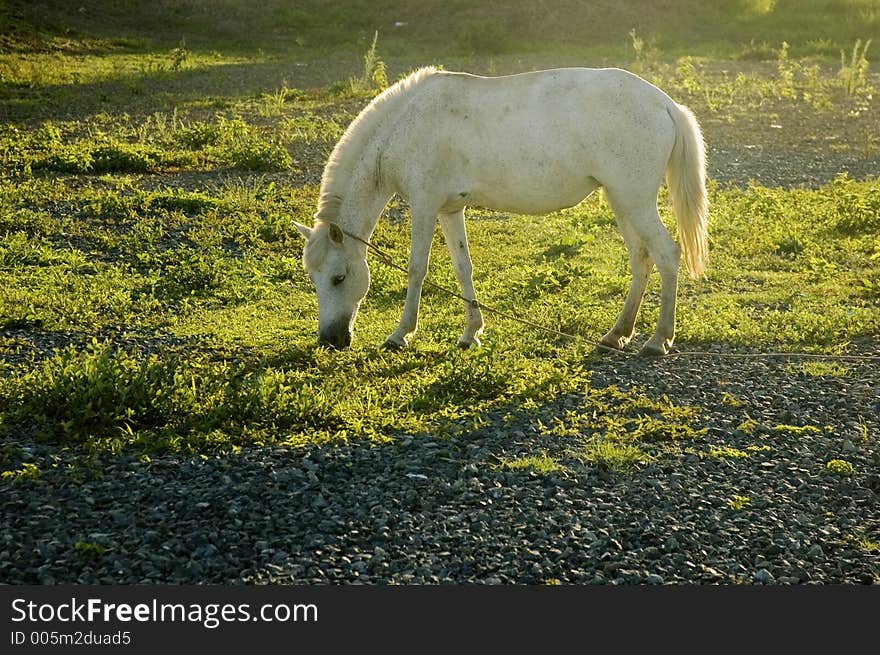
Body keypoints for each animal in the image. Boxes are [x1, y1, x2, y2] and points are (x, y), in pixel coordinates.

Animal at [296, 65, 708, 354]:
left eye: (338, 278)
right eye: (314, 279)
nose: (330, 340)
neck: (405, 125)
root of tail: (665, 103)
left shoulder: (425, 205)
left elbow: (417, 269)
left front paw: (401, 335)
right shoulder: (448, 210)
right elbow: (463, 268)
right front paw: (470, 333)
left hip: (635, 201)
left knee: (667, 255)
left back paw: (658, 340)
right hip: (621, 201)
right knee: (642, 260)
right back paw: (616, 334)